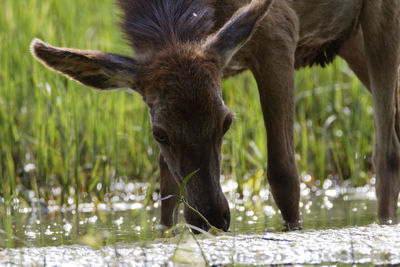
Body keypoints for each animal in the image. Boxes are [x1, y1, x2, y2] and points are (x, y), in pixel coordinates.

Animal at [31, 0, 400, 232]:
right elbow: (167, 191)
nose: (211, 217)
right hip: (349, 39)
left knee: (386, 151)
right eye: (159, 133)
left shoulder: (279, 31)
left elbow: (284, 173)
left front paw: (293, 230)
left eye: (227, 122)